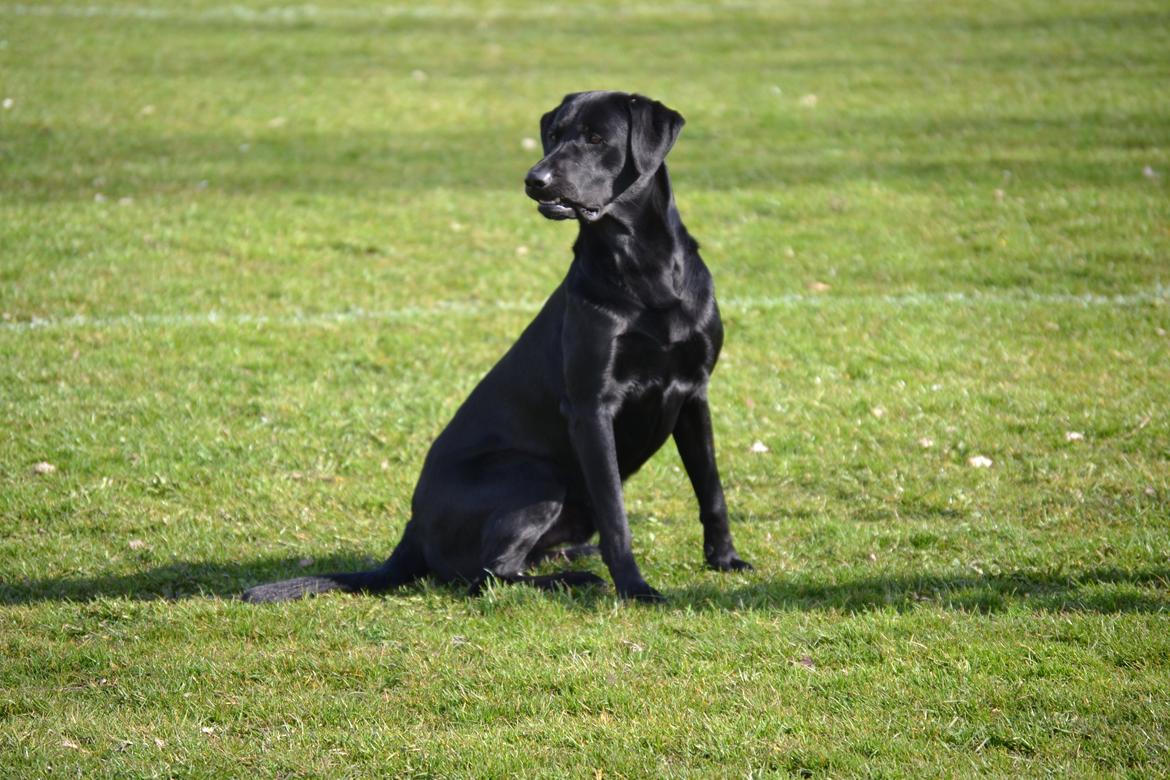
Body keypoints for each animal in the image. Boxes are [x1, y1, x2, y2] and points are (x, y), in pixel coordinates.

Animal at [244, 91, 748, 603]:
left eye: (595, 138)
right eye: (553, 134)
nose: (534, 180)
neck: (644, 271)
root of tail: (412, 532)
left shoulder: (693, 394)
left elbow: (711, 490)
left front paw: (724, 559)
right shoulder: (591, 407)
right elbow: (616, 515)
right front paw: (634, 587)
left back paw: (570, 556)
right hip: (536, 473)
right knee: (489, 574)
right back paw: (572, 578)